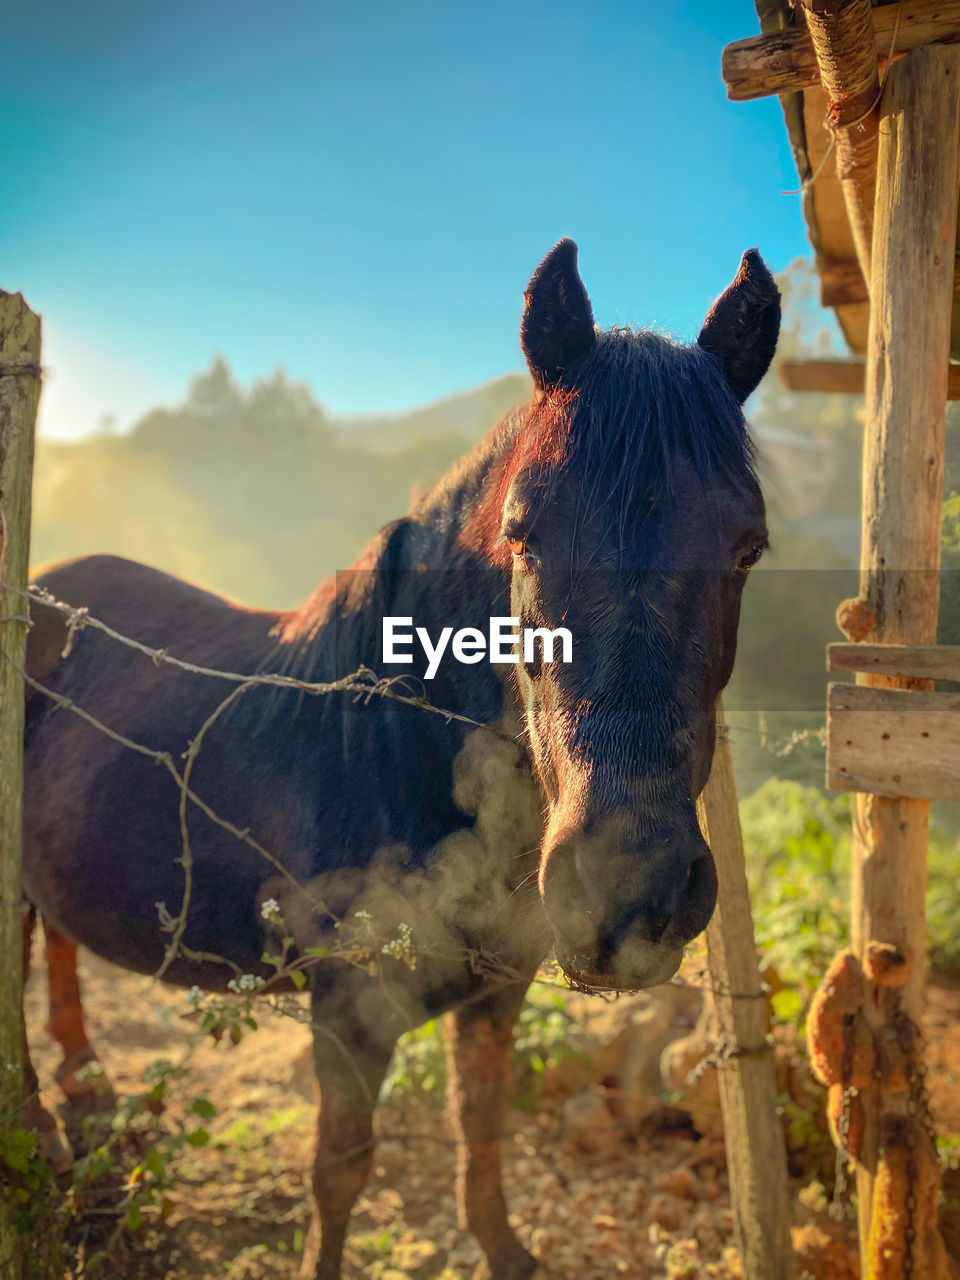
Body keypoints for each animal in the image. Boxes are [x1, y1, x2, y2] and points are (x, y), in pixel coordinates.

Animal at [18, 241, 778, 1280]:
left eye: (748, 548)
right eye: (522, 536)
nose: (634, 890)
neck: (401, 755)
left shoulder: (500, 988)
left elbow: (480, 1122)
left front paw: (504, 1249)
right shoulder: (350, 1008)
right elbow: (340, 1171)